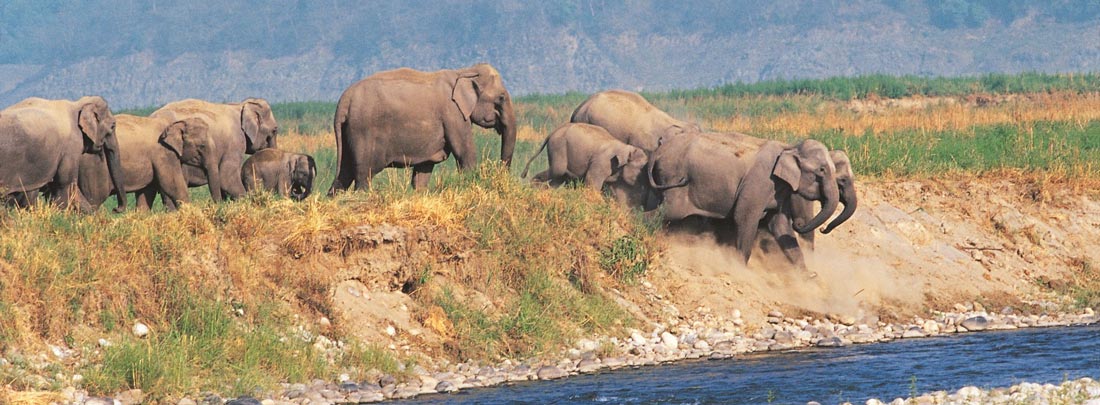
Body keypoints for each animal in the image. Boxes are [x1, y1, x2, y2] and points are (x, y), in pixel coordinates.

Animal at [76, 115, 220, 211]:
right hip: (93, 167)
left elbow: (146, 194)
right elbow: (173, 185)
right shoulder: (163, 153)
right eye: (202, 146)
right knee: (94, 199)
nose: (115, 209)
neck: (173, 123)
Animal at [327, 63, 516, 193]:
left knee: (344, 173)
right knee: (362, 174)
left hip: (348, 131)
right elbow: (465, 153)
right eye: (501, 98)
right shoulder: (453, 113)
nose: (501, 174)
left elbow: (424, 168)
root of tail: (344, 100)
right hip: (362, 131)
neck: (463, 71)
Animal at [520, 123, 649, 206]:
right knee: (558, 170)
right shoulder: (602, 162)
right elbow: (591, 181)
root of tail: (553, 132)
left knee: (559, 178)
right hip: (558, 147)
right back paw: (534, 184)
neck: (626, 148)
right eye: (642, 169)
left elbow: (618, 190)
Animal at [647, 131, 840, 270]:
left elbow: (780, 225)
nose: (799, 223)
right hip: (674, 180)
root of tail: (659, 150)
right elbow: (744, 218)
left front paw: (808, 277)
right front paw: (740, 268)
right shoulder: (759, 182)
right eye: (821, 171)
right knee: (667, 211)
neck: (788, 147)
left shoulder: (779, 191)